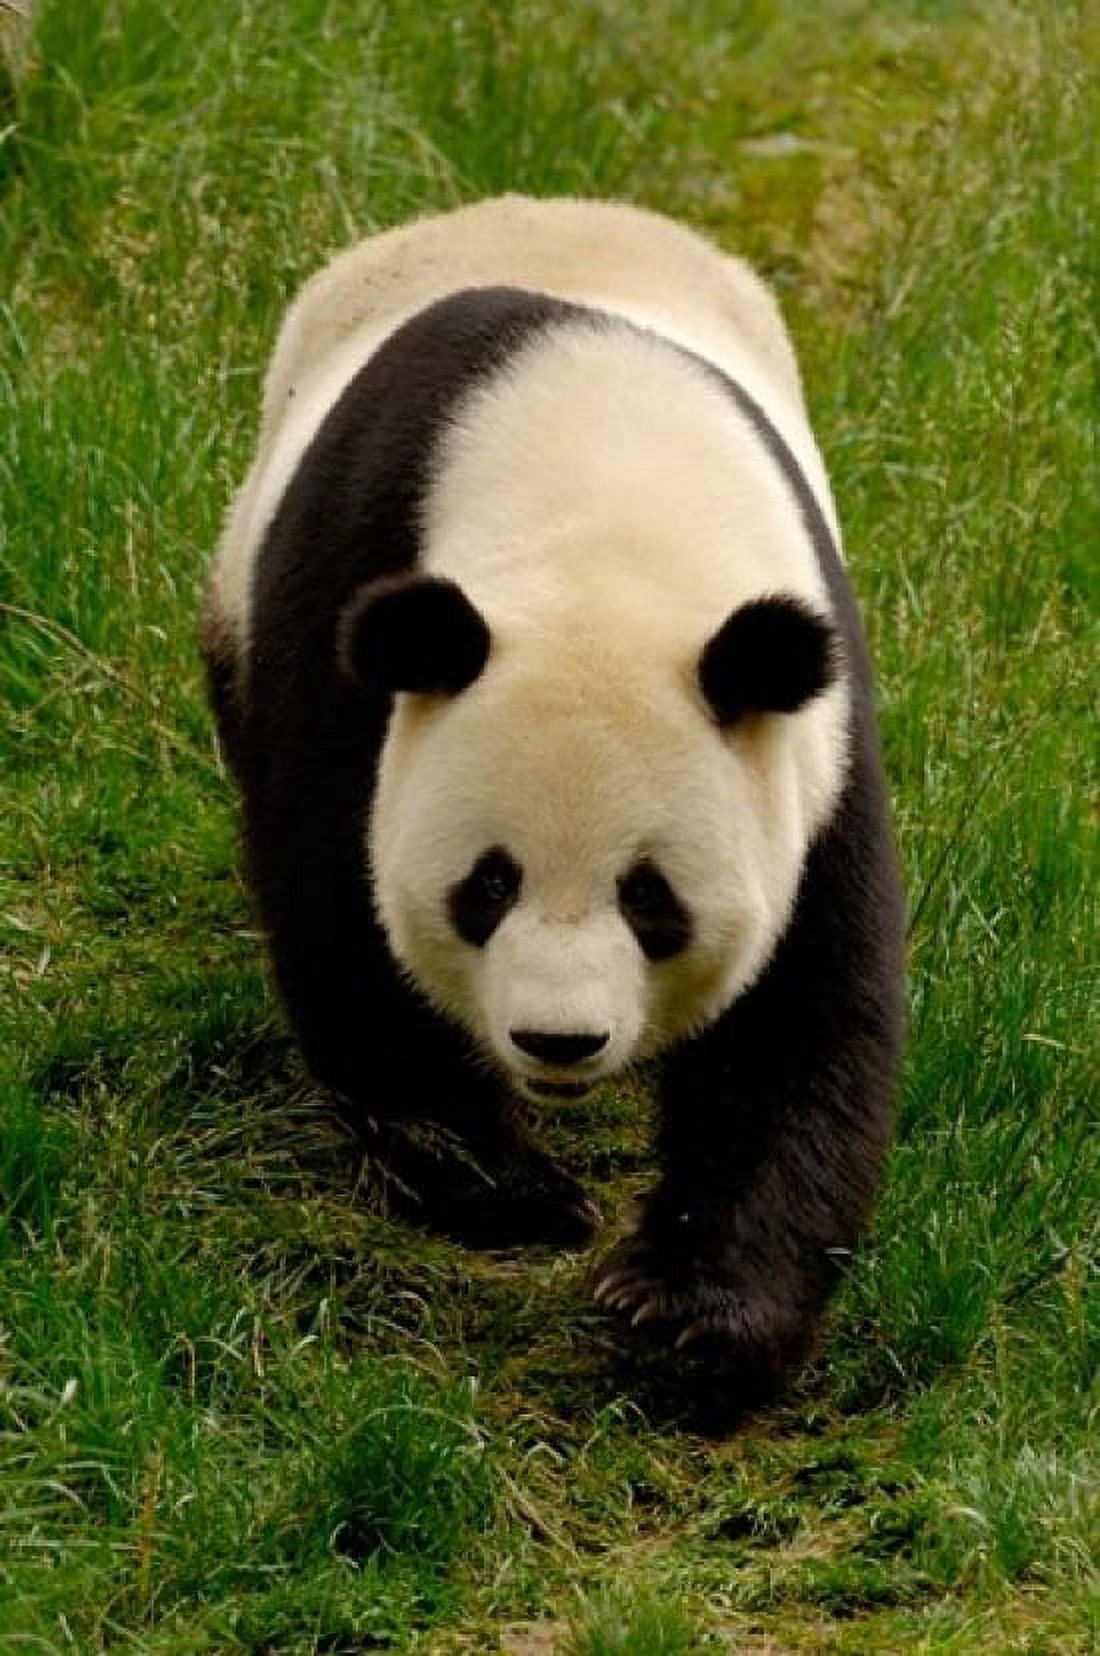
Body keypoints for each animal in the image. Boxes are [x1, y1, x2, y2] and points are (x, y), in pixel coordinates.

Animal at [203, 195, 905, 1398]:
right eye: (485, 888)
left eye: (651, 899)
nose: (558, 1042)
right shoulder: (354, 590)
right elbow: (338, 899)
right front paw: (508, 1193)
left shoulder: (806, 732)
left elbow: (803, 1005)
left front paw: (691, 1311)